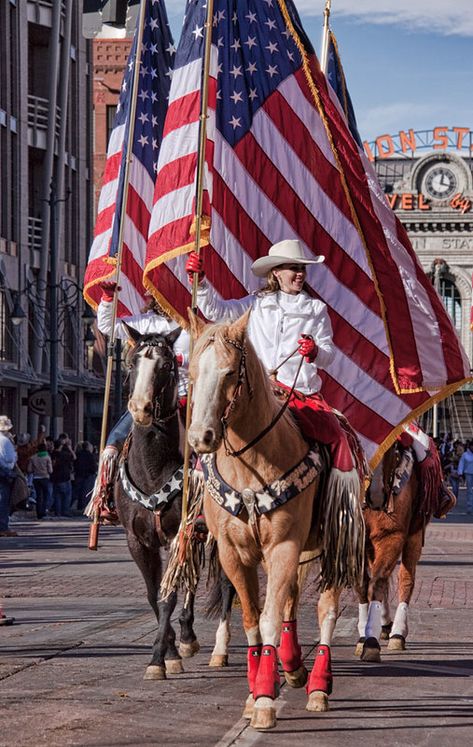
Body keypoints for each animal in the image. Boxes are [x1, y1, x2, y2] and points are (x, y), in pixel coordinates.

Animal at [186, 312, 364, 732]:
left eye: (230, 372)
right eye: (191, 372)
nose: (201, 438)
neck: (251, 463)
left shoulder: (284, 545)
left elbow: (267, 620)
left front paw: (266, 698)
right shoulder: (236, 553)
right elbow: (253, 619)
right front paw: (255, 694)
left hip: (329, 545)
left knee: (326, 611)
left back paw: (317, 686)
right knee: (291, 603)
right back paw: (294, 664)